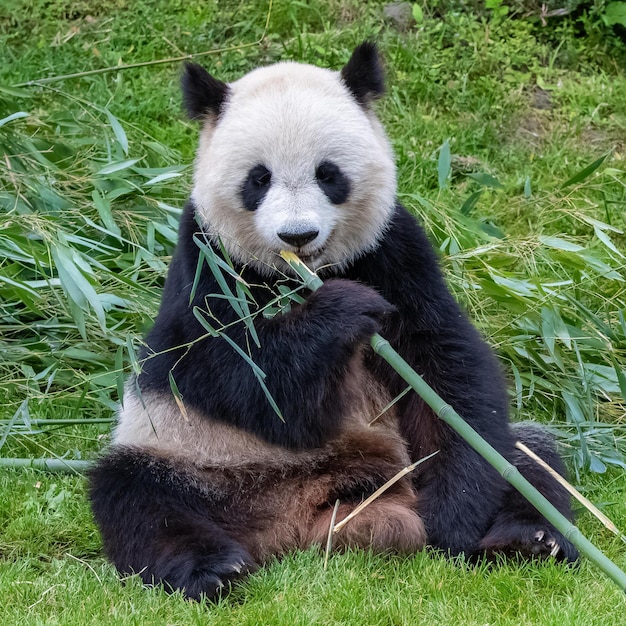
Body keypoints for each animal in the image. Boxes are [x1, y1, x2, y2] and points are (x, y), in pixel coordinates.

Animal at [89, 41, 576, 596]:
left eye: (328, 173)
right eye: (259, 179)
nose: (297, 236)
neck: (303, 276)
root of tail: (303, 523)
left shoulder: (393, 250)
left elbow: (446, 366)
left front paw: (453, 518)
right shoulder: (205, 259)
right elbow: (230, 369)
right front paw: (344, 308)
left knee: (530, 459)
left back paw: (526, 539)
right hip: (192, 455)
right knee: (137, 496)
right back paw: (213, 569)